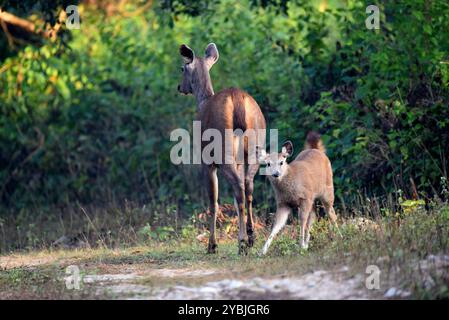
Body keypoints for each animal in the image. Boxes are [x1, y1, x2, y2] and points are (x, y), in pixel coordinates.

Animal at [176, 42, 266, 254]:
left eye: (182, 68)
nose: (180, 87)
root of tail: (238, 99)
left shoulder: (206, 161)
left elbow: (213, 202)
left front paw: (212, 245)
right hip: (256, 147)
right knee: (248, 186)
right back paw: (250, 237)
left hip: (222, 149)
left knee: (239, 187)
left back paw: (242, 243)